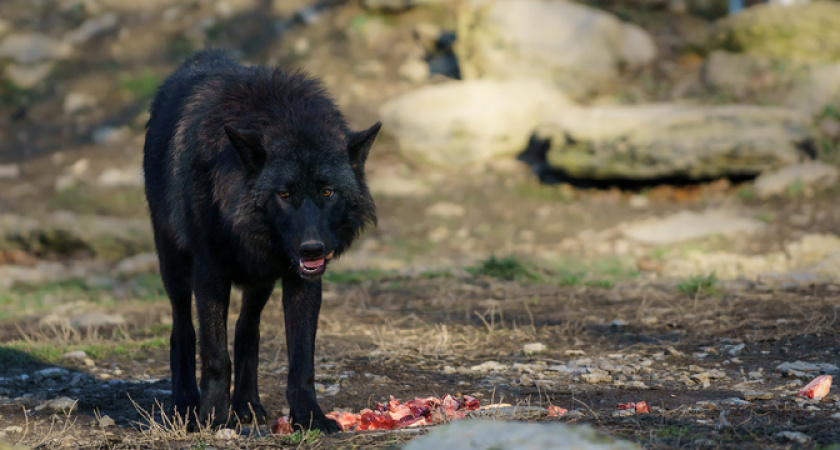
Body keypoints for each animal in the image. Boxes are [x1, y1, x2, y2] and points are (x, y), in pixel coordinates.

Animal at [144, 50, 380, 432]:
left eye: (327, 191)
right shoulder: (209, 275)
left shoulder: (301, 281)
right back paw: (186, 402)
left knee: (246, 330)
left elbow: (301, 361)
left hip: (261, 283)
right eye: (284, 194)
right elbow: (215, 355)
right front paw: (212, 417)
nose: (312, 248)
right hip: (175, 269)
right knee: (182, 331)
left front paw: (310, 417)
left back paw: (247, 404)